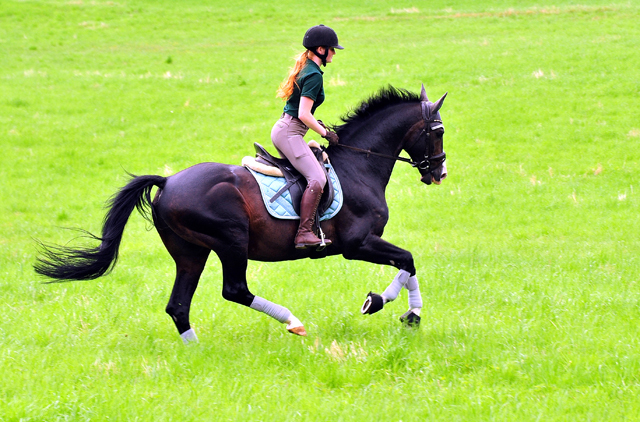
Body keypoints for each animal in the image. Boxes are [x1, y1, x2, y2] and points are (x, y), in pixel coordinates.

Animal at [33, 84, 444, 342]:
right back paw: (293, 323)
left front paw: (403, 312)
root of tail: (168, 181)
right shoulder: (357, 243)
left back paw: (195, 352)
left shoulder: (364, 244)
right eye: (437, 132)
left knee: (178, 305)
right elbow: (407, 260)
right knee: (235, 290)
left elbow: (407, 264)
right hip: (230, 238)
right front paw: (388, 306)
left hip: (190, 252)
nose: (439, 173)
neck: (360, 165)